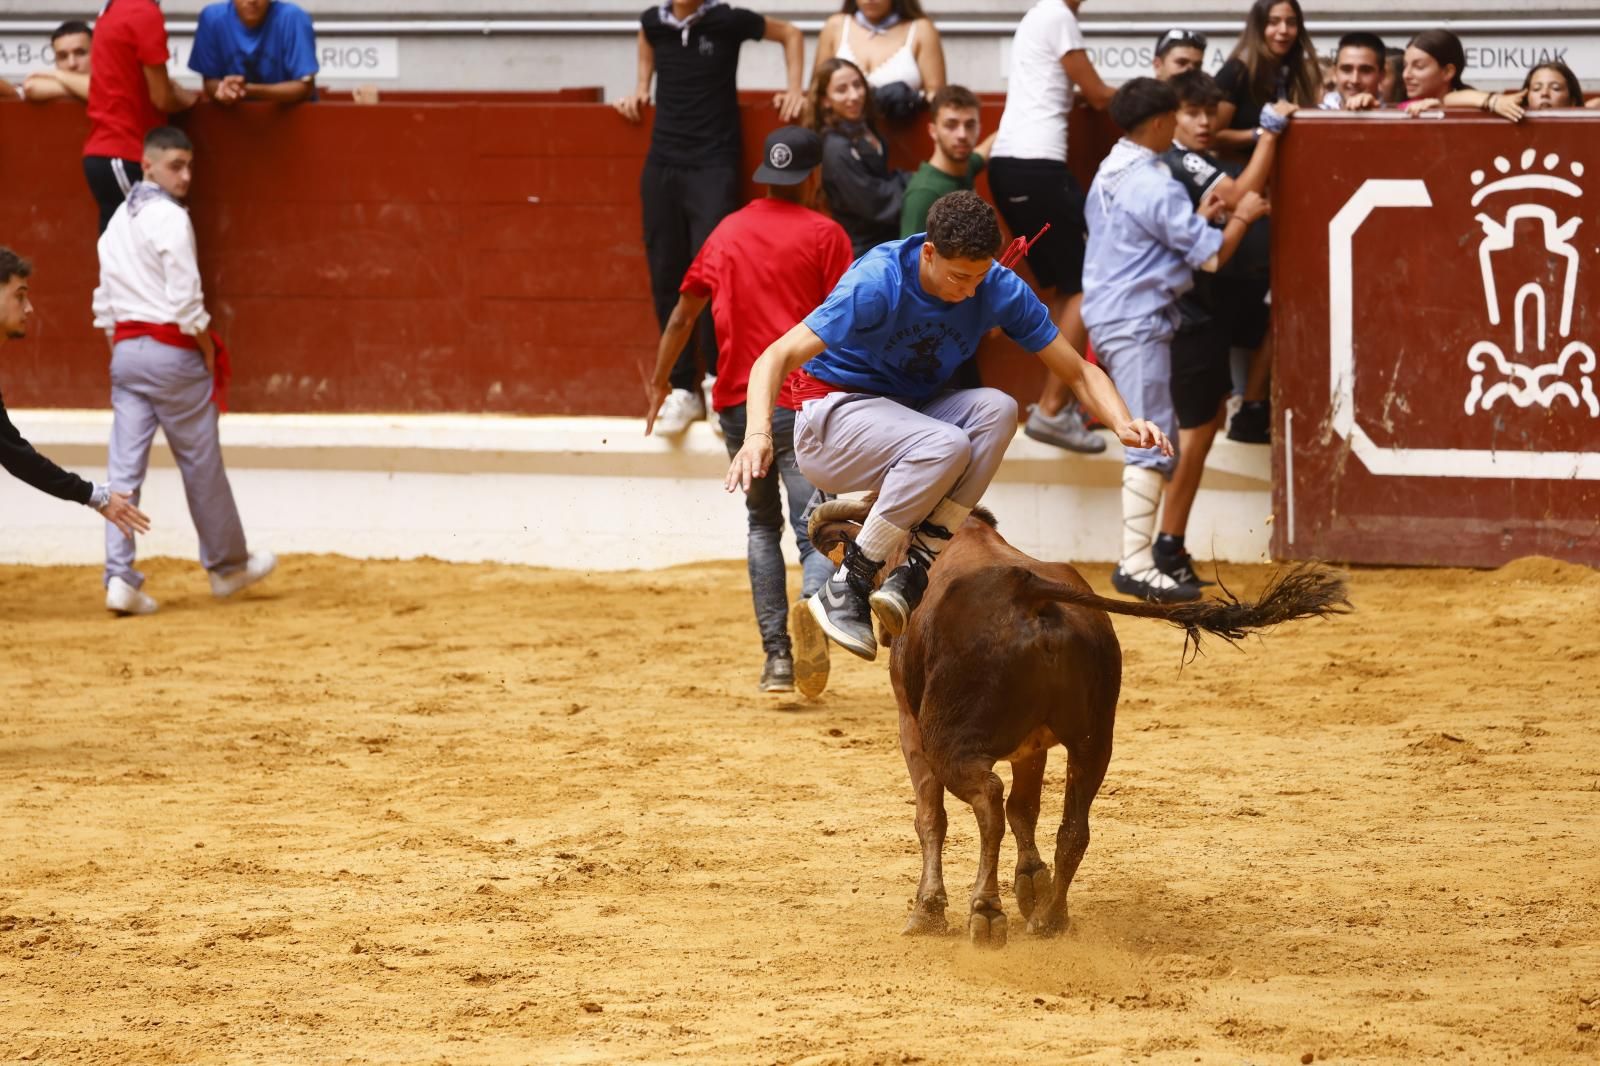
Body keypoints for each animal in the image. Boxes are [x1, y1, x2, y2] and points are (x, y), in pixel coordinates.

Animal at [806, 499, 1344, 947]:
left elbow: (932, 816)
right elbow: (1026, 811)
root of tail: (1029, 593)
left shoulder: (910, 725)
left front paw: (929, 910)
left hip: (951, 742)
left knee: (988, 801)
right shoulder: (1034, 747)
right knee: (1072, 828)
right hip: (1094, 741)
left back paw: (987, 912)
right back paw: (1050, 917)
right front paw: (1031, 884)